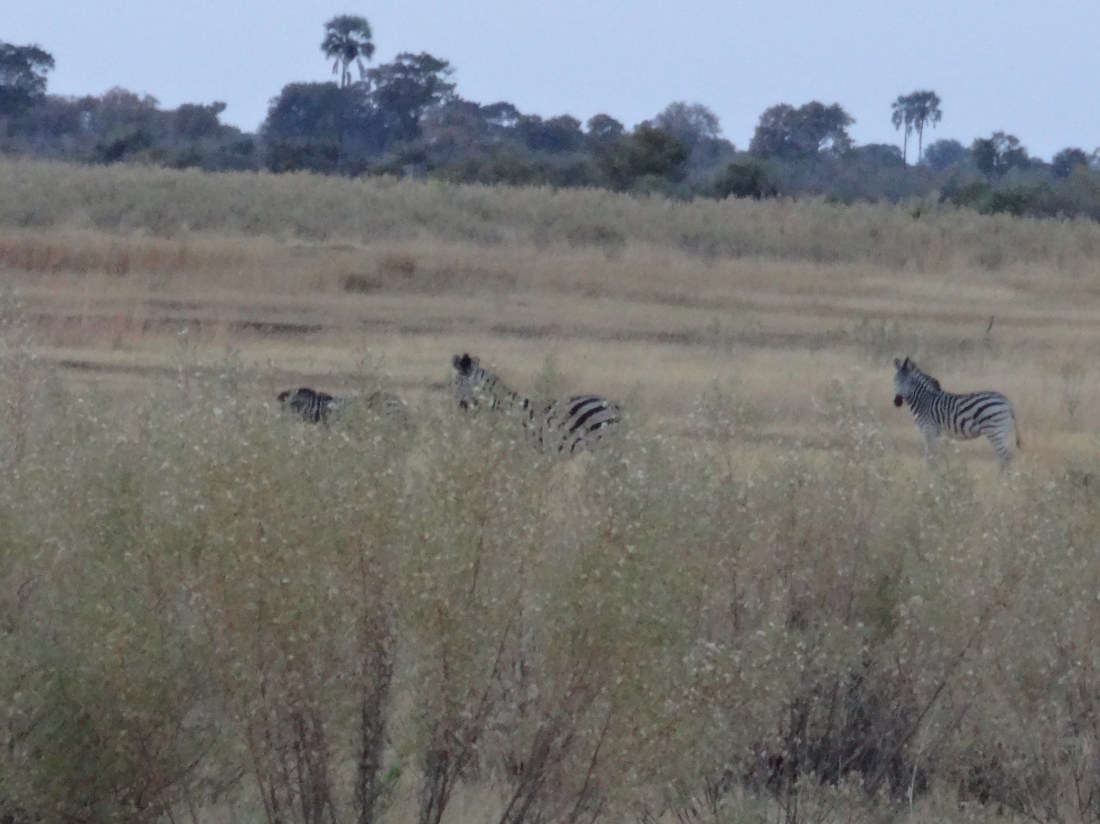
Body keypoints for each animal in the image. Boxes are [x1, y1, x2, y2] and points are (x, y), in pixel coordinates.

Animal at [892, 357, 1021, 470]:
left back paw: (1005, 482)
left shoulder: (928, 430)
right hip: (1001, 432)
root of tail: (1007, 402)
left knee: (1007, 456)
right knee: (1003, 458)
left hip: (994, 431)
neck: (924, 401)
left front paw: (929, 476)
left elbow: (931, 457)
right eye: (895, 380)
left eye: (910, 381)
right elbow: (935, 456)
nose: (897, 401)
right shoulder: (934, 434)